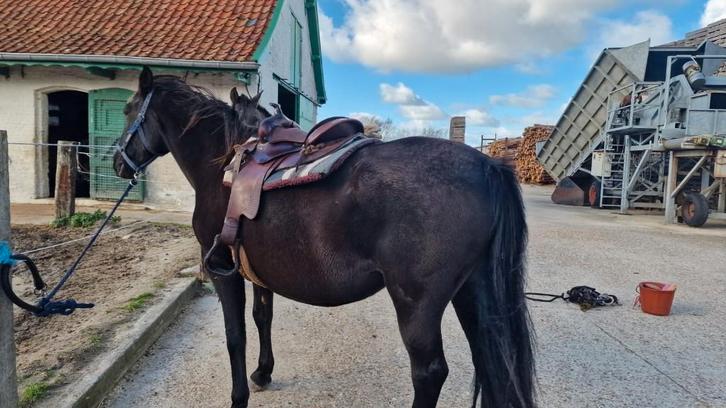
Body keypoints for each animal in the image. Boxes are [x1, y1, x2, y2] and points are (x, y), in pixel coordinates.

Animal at [113, 67, 536, 408]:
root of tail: (487, 165)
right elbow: (262, 318)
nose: (117, 162)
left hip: (417, 304)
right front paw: (263, 372)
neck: (222, 167)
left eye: (128, 111)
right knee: (493, 361)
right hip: (474, 293)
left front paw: (239, 397)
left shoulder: (222, 270)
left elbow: (235, 336)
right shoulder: (258, 272)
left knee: (429, 372)